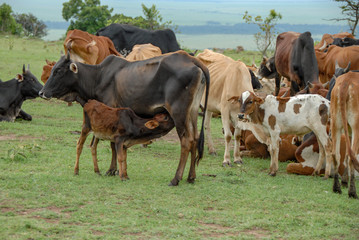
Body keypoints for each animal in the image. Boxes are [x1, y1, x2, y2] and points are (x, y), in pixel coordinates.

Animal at [40, 50, 211, 186]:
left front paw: (111, 170)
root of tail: (191, 59)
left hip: (178, 113)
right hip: (192, 113)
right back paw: (191, 177)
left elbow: (112, 145)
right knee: (195, 139)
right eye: (53, 69)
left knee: (186, 142)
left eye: (59, 71)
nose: (42, 92)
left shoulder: (111, 112)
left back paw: (175, 179)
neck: (97, 77)